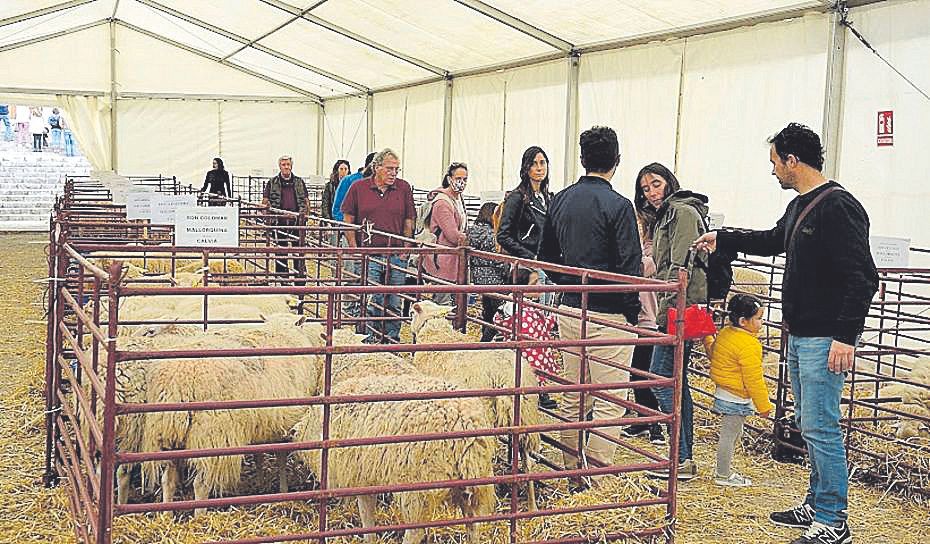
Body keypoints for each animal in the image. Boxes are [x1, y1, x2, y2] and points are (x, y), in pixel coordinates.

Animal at [292, 374, 496, 544]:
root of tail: (464, 421)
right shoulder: (367, 476)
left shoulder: (361, 475)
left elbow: (366, 515)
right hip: (473, 484)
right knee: (474, 523)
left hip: (418, 488)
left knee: (415, 531)